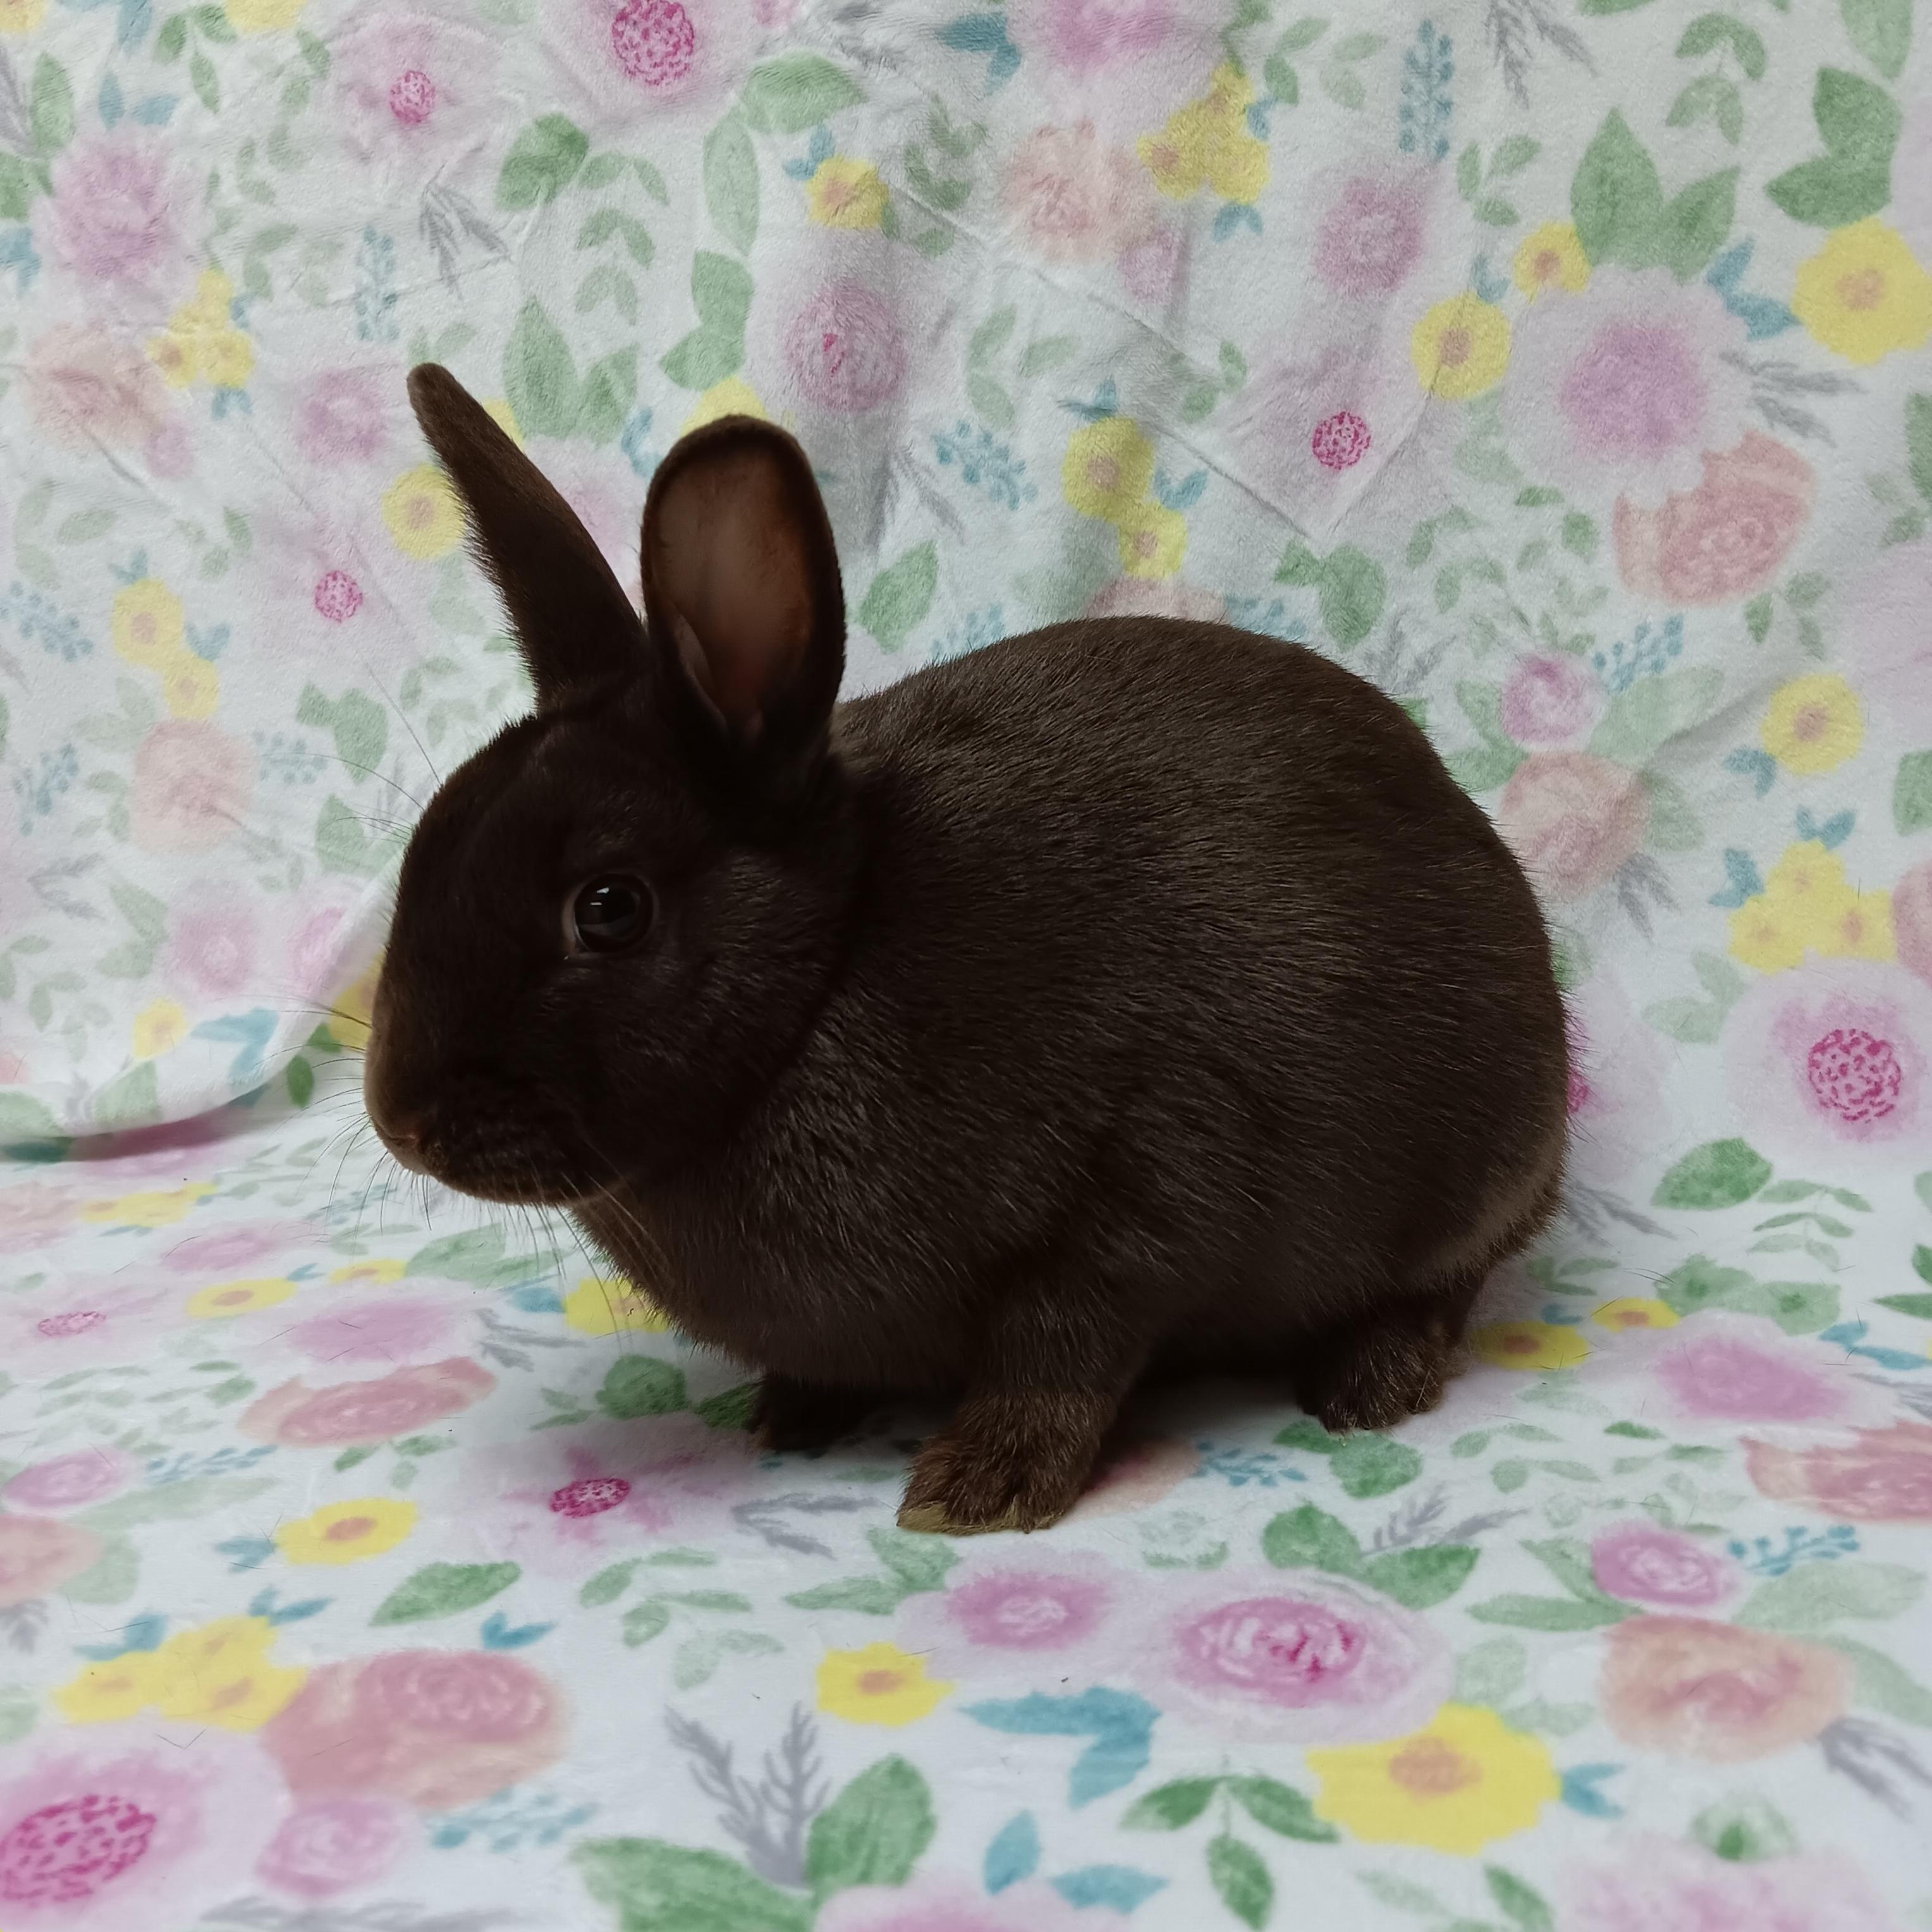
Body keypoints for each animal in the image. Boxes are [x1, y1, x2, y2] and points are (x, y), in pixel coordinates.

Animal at [364, 364, 1570, 1536]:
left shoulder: (1138, 1196)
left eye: (610, 908)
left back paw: (1370, 1382)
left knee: (1448, 1280)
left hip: (1485, 1157)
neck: (822, 988)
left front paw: (979, 1488)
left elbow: (1060, 1352)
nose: (399, 1123)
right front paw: (796, 1413)